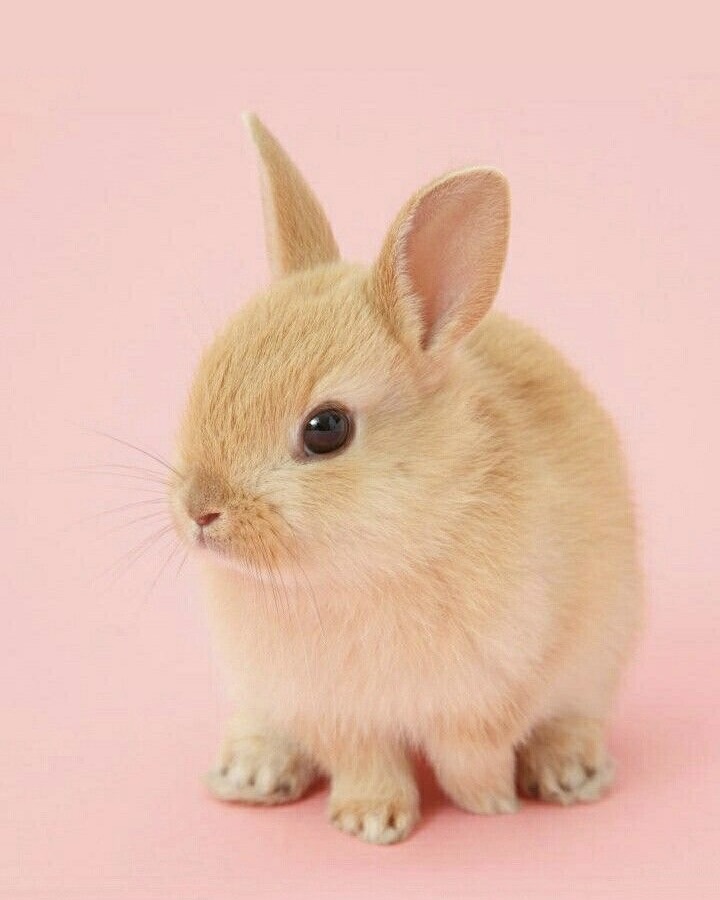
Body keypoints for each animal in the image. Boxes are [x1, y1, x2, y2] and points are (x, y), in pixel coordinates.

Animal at [169, 113, 642, 844]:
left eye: (326, 428)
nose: (199, 510)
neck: (372, 559)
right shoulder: (334, 712)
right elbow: (366, 761)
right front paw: (371, 821)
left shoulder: (493, 690)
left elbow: (471, 755)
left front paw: (489, 805)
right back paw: (249, 775)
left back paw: (571, 775)